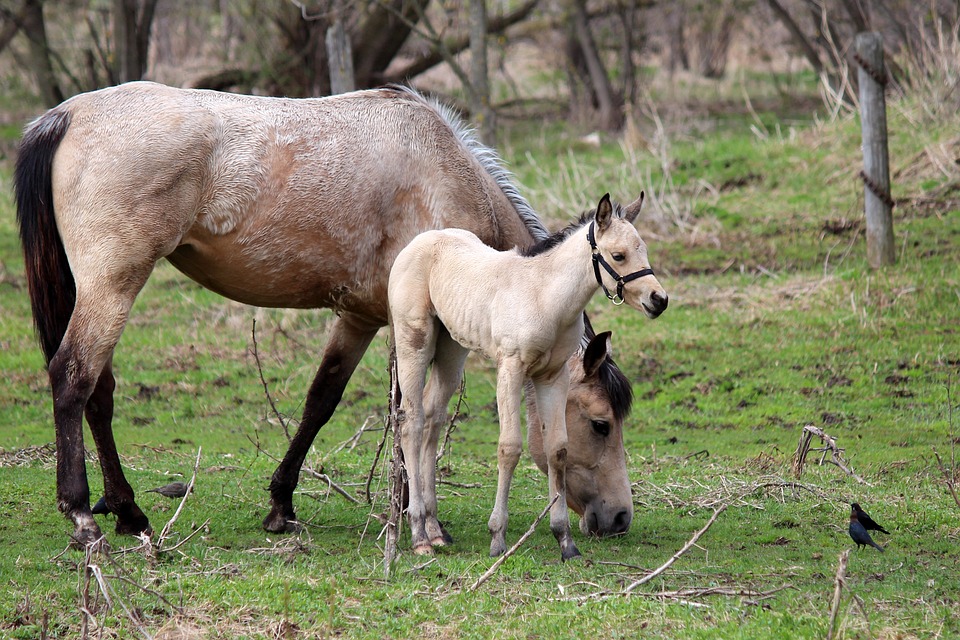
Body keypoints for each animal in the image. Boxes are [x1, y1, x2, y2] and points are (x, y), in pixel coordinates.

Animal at [13, 81, 636, 544]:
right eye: (600, 423)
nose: (618, 518)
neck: (444, 178)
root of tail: (67, 115)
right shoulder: (413, 327)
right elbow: (408, 410)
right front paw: (411, 513)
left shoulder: (359, 318)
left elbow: (323, 399)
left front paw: (282, 504)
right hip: (113, 285)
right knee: (73, 379)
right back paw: (84, 514)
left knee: (99, 393)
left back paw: (126, 510)